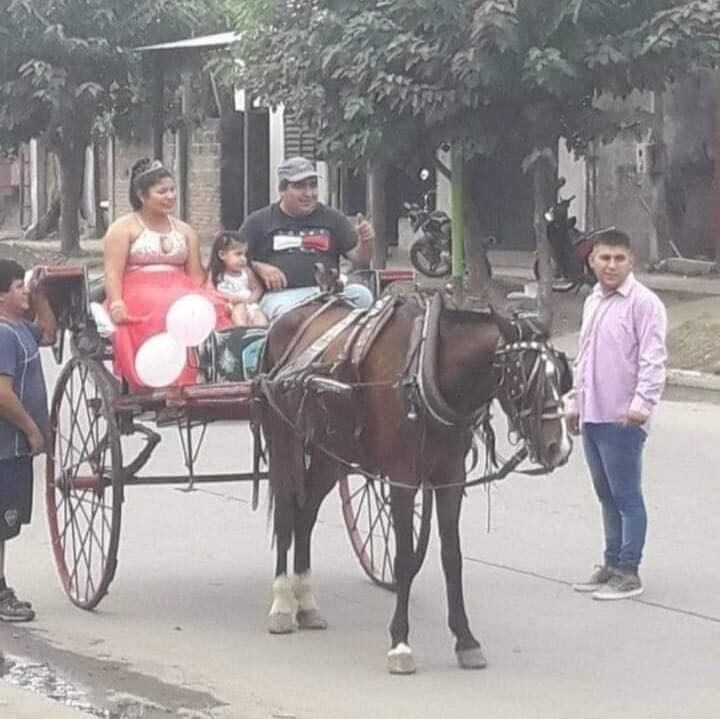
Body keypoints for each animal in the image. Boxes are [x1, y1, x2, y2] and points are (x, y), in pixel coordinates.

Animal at [255, 288, 572, 676]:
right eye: (525, 376)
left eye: (561, 375)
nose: (560, 447)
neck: (426, 371)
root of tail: (283, 321)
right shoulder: (402, 478)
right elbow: (404, 558)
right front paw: (401, 642)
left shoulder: (451, 478)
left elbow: (452, 557)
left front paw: (466, 640)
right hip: (283, 437)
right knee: (287, 515)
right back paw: (283, 602)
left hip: (331, 451)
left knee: (306, 515)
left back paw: (306, 601)